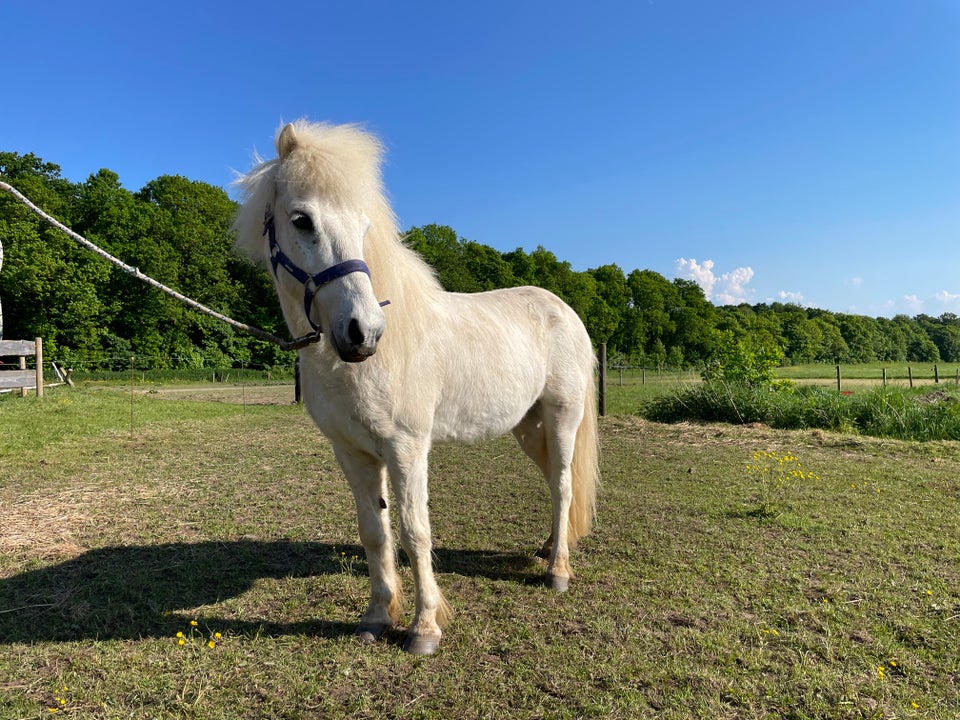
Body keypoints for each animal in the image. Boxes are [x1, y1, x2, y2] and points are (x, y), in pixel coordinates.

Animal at [232, 119, 596, 652]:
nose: (363, 332)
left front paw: (424, 628)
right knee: (554, 483)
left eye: (363, 228)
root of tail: (564, 310)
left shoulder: (406, 448)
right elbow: (375, 532)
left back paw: (558, 572)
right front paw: (376, 617)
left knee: (566, 485)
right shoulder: (353, 452)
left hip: (562, 416)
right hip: (529, 427)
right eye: (301, 220)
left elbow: (414, 531)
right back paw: (552, 547)